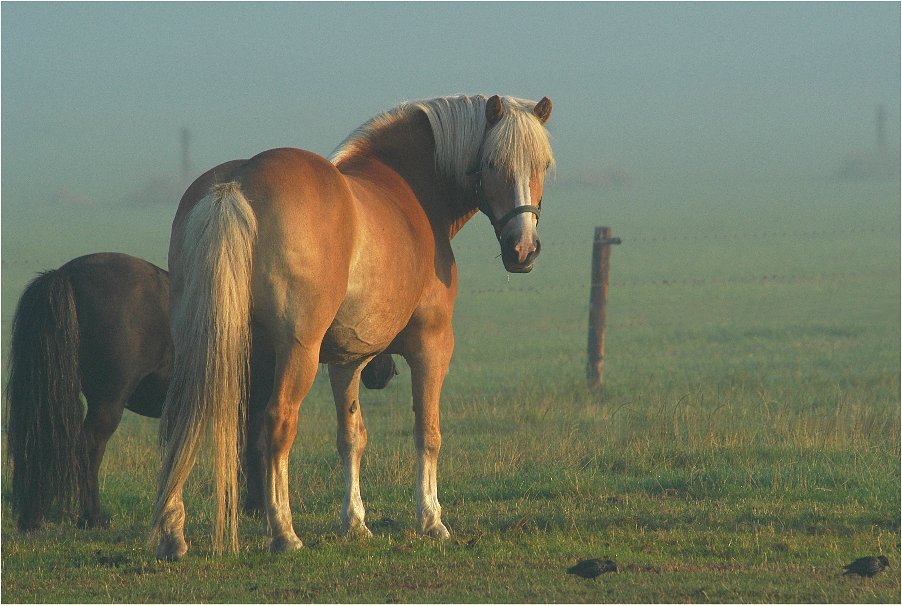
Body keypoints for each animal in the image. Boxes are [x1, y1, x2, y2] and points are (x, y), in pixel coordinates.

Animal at [5, 252, 398, 532]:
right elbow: (257, 449)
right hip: (108, 402)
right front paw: (259, 506)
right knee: (88, 448)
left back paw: (34, 516)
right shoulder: (260, 403)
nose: (385, 372)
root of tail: (65, 275)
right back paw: (92, 516)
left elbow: (244, 451)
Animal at [152, 94, 556, 560]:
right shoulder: (432, 346)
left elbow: (351, 437)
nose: (522, 249)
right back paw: (284, 532)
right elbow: (427, 432)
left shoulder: (347, 361)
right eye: (491, 163)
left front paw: (356, 522)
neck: (410, 189)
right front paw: (431, 519)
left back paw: (173, 533)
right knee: (278, 423)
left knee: (181, 420)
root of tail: (237, 182)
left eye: (543, 165)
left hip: (201, 342)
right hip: (297, 353)